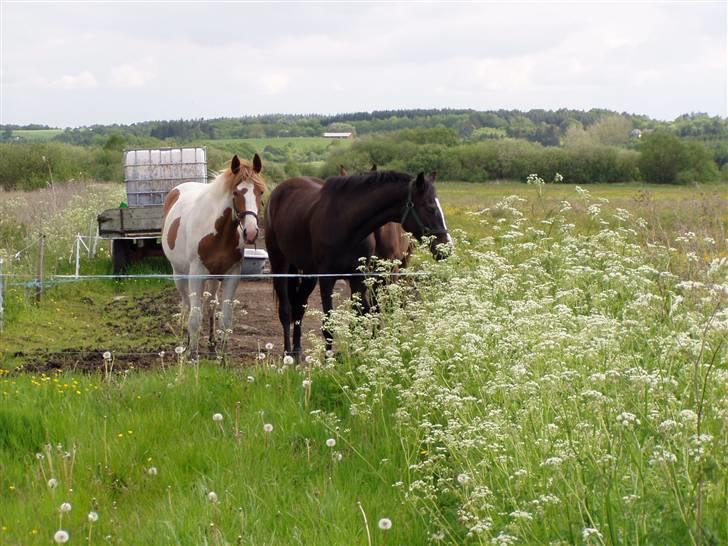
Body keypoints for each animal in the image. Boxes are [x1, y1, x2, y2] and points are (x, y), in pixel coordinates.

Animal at [163, 153, 268, 356]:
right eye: (236, 193)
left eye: (260, 192)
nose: (251, 233)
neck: (218, 232)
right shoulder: (196, 274)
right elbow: (195, 316)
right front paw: (192, 355)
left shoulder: (232, 274)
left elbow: (225, 318)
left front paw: (223, 356)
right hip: (179, 274)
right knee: (187, 305)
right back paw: (186, 343)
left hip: (213, 278)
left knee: (211, 304)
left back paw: (212, 346)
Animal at [264, 171, 452, 356]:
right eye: (430, 208)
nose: (447, 248)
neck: (346, 223)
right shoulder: (327, 279)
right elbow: (329, 325)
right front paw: (329, 360)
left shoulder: (358, 278)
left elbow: (357, 320)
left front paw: (355, 356)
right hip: (279, 262)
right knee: (286, 310)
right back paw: (287, 354)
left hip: (309, 272)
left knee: (299, 307)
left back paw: (296, 351)